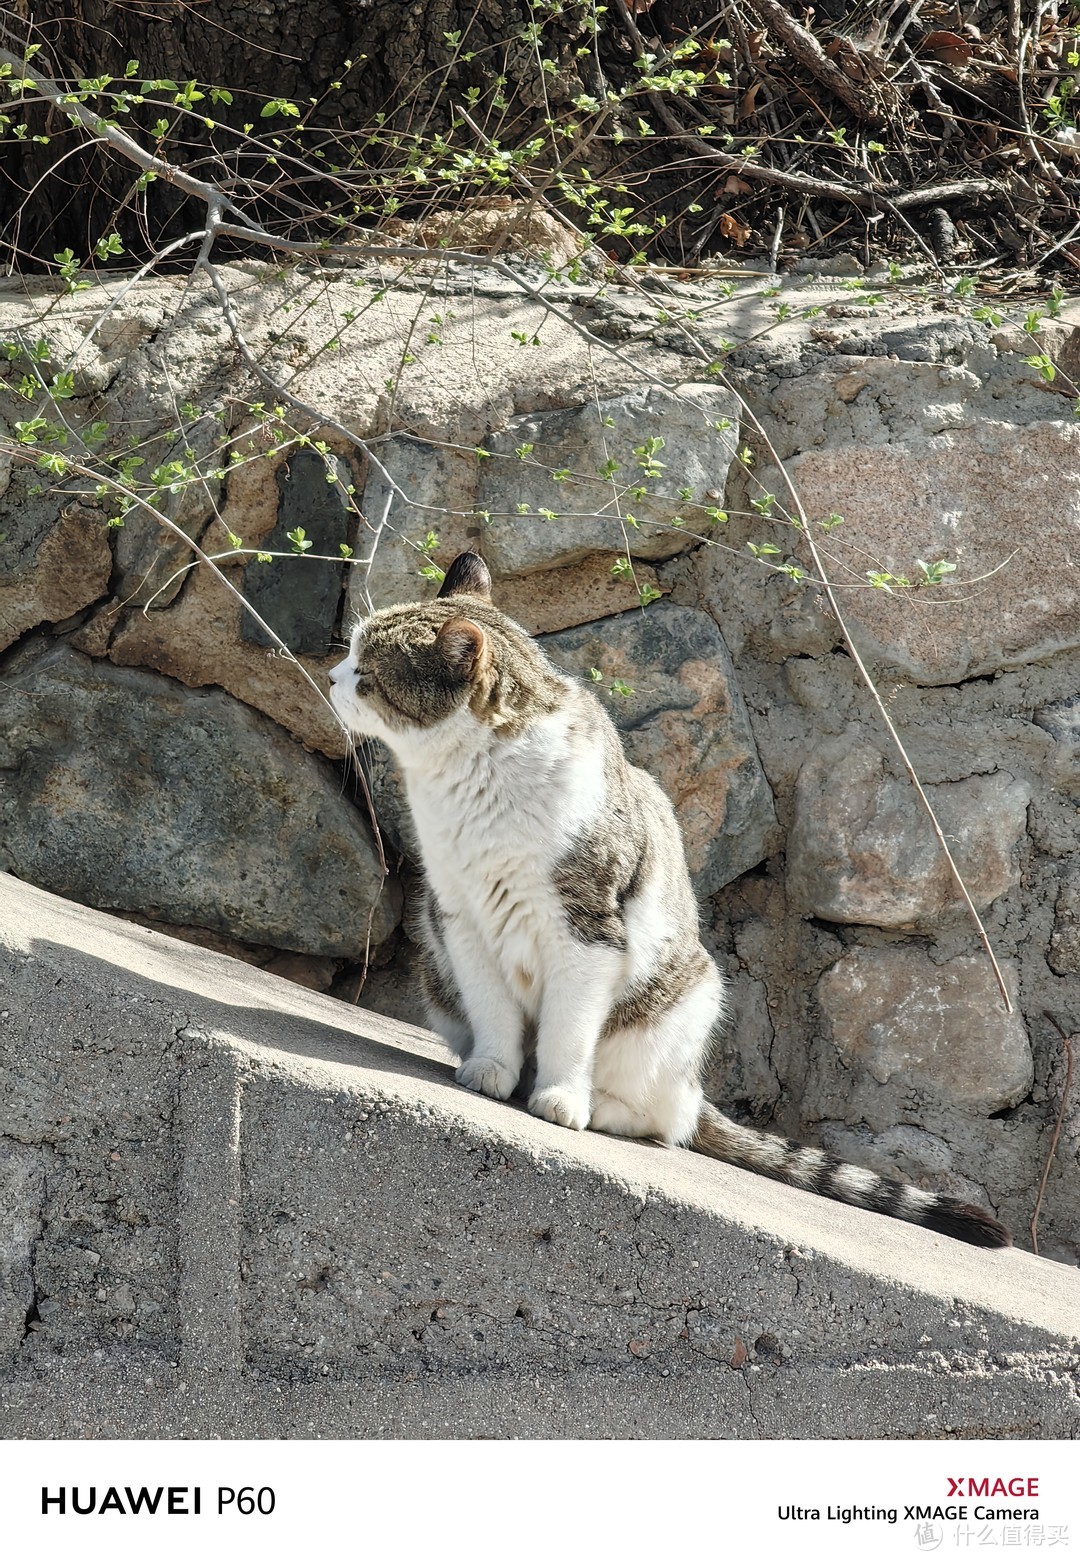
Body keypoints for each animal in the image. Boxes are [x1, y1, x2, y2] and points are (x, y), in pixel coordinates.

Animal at [329, 549, 1011, 1242]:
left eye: (367, 674)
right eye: (350, 654)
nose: (330, 678)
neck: (475, 780)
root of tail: (693, 1086)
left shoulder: (587, 930)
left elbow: (569, 1031)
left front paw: (561, 1097)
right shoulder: (460, 919)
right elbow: (494, 1010)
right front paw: (493, 1070)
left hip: (683, 998)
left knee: (668, 1120)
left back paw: (603, 1105)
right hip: (439, 974)